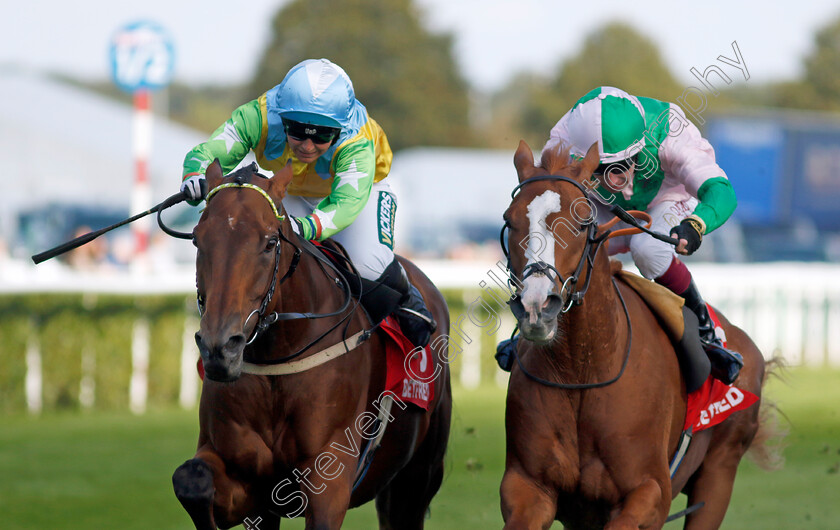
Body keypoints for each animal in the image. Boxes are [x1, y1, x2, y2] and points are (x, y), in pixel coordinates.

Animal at [171, 162, 456, 528]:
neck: (278, 361)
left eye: (270, 242)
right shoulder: (248, 481)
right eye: (197, 239)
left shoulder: (329, 479)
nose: (220, 347)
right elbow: (191, 480)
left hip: (418, 476)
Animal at [498, 138, 780, 524]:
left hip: (719, 474)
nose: (536, 306)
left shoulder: (649, 491)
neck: (581, 371)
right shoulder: (528, 486)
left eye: (582, 221)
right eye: (510, 221)